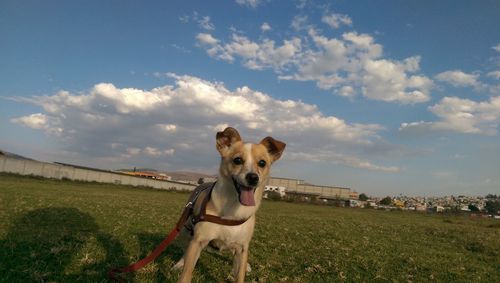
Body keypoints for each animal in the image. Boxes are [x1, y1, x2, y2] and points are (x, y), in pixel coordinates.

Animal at [175, 128, 286, 283]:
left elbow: (240, 275)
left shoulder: (242, 248)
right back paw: (179, 264)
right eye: (237, 160)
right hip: (185, 231)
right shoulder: (197, 241)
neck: (233, 208)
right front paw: (182, 267)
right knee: (185, 250)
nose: (253, 177)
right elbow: (186, 273)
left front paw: (241, 271)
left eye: (262, 163)